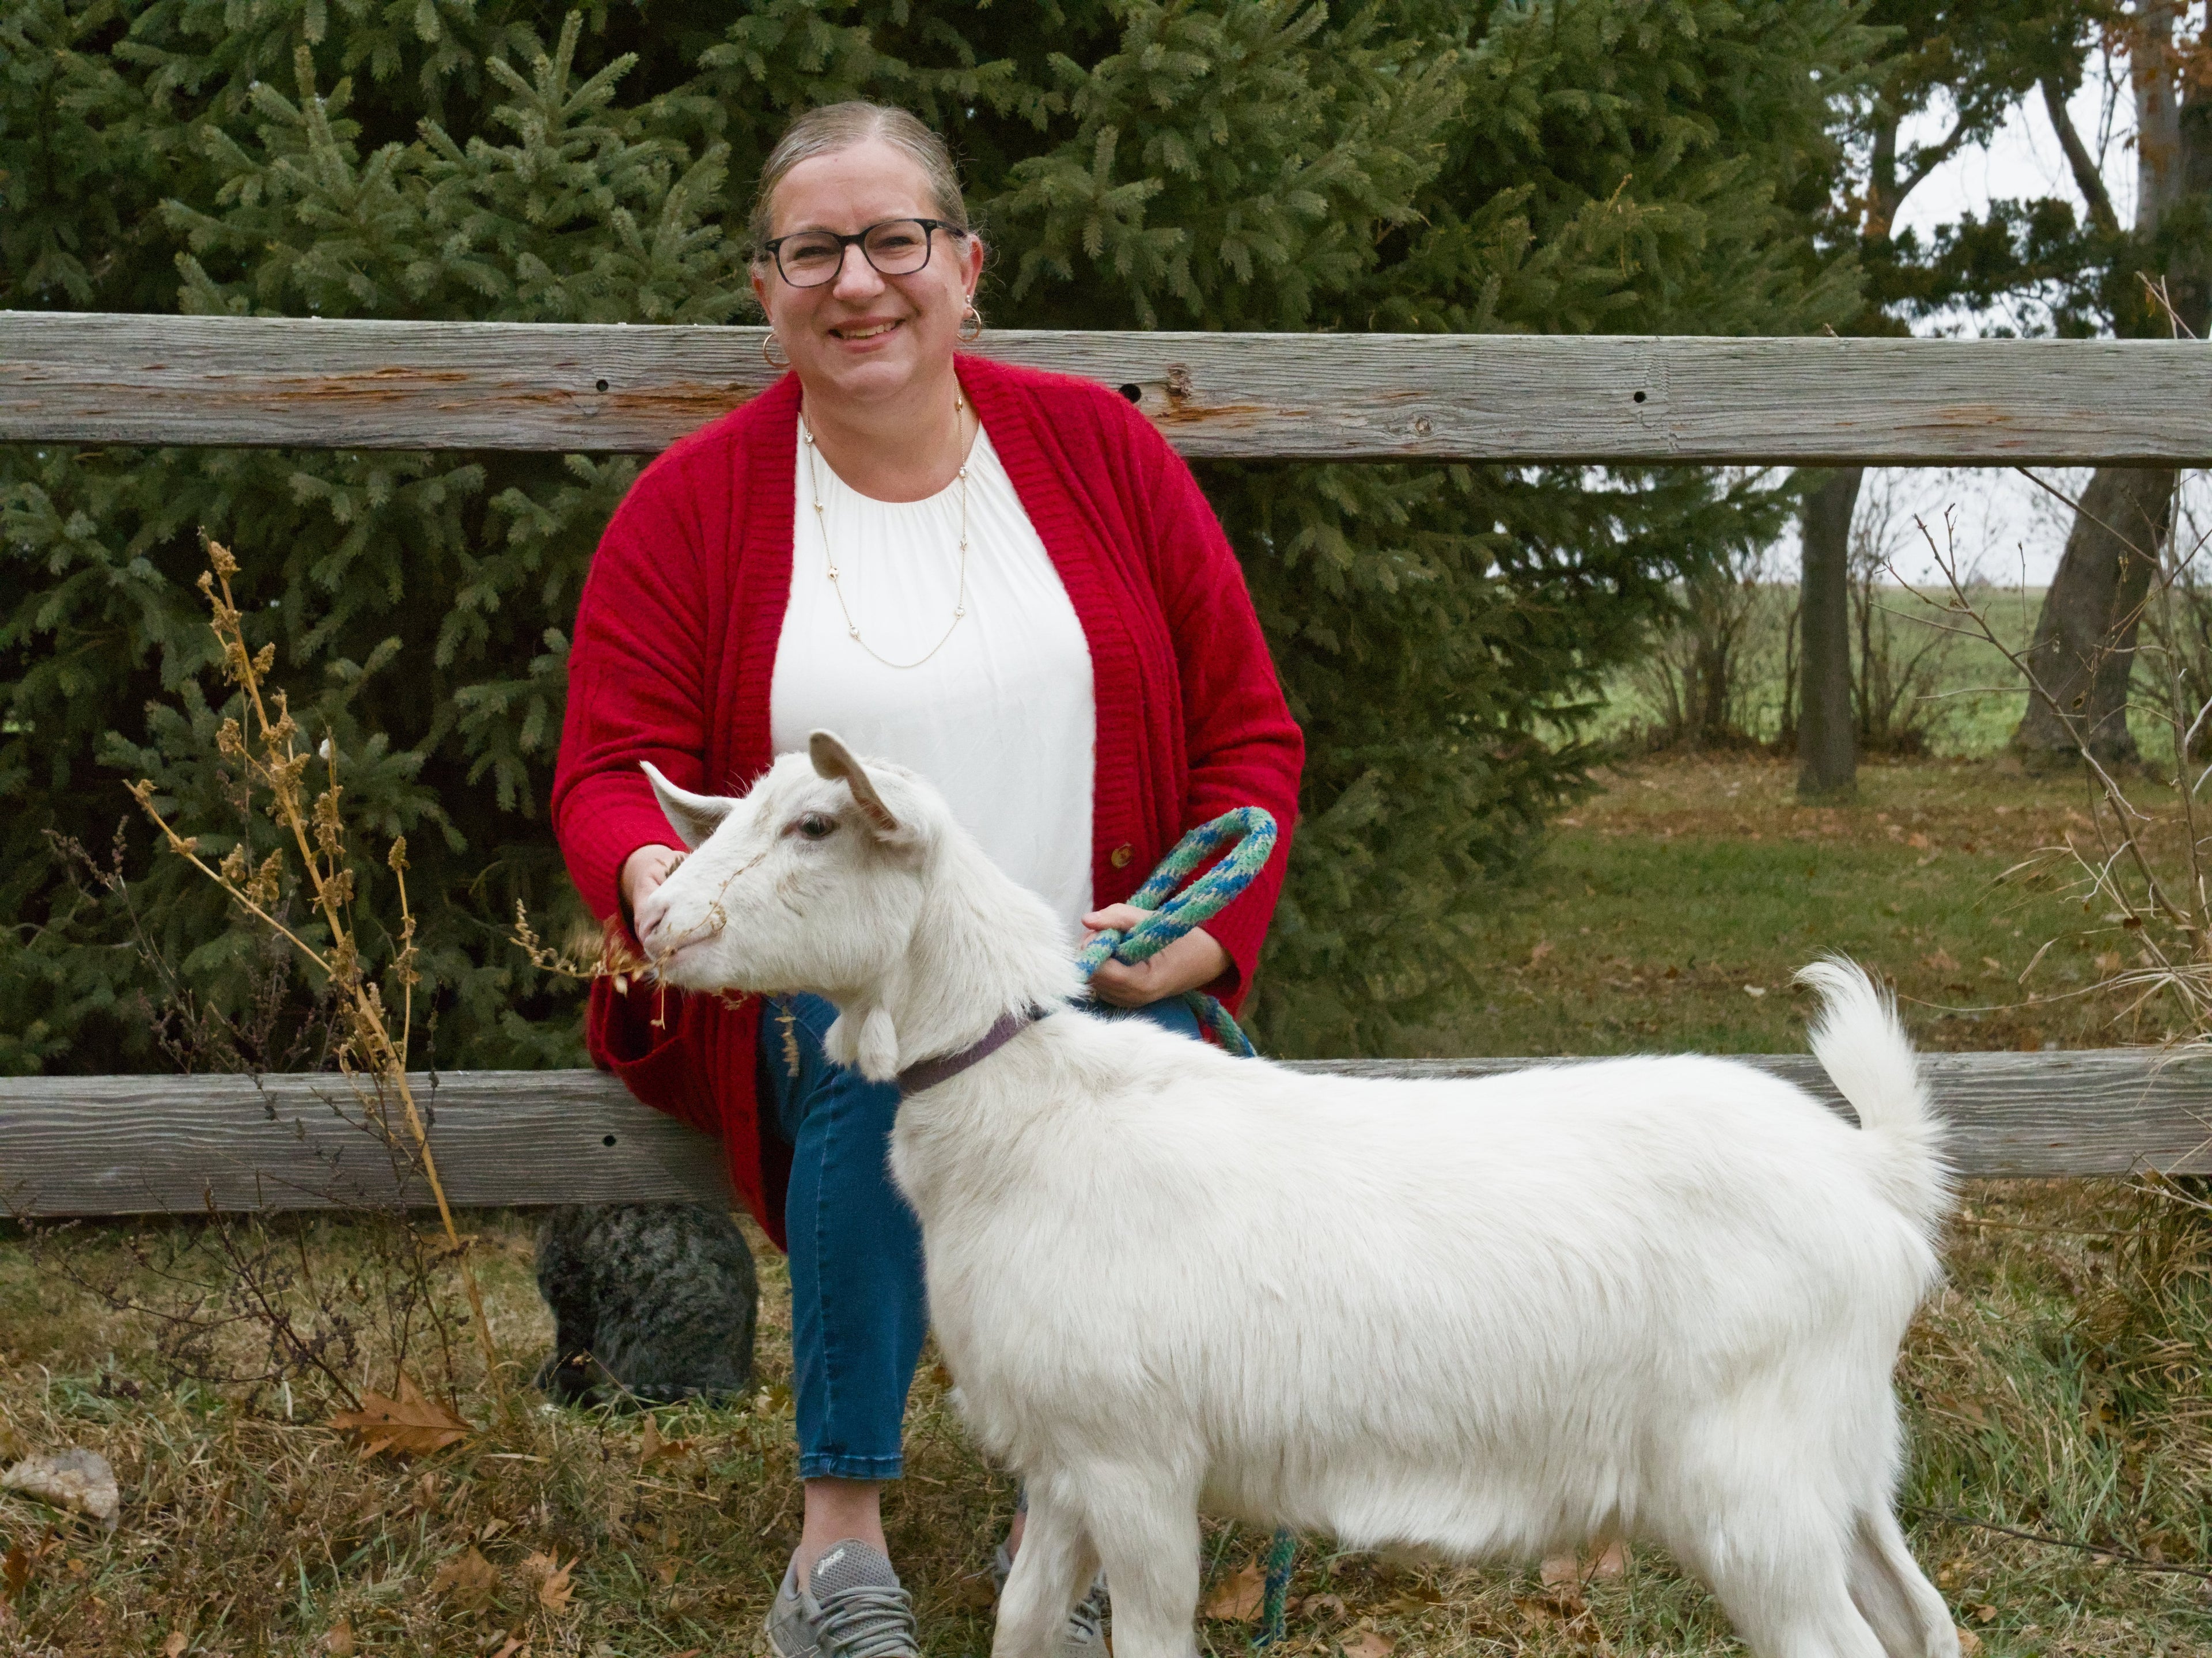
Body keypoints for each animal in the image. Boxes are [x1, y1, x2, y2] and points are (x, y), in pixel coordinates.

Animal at [633, 732, 1960, 1658]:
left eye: (816, 821)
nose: (656, 917)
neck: (1041, 1111)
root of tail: (1872, 1170)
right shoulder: (1065, 1459)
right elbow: (1022, 1627)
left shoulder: (1138, 1460)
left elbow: (1150, 1639)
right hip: (1838, 1458)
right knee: (1920, 1618)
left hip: (1753, 1475)